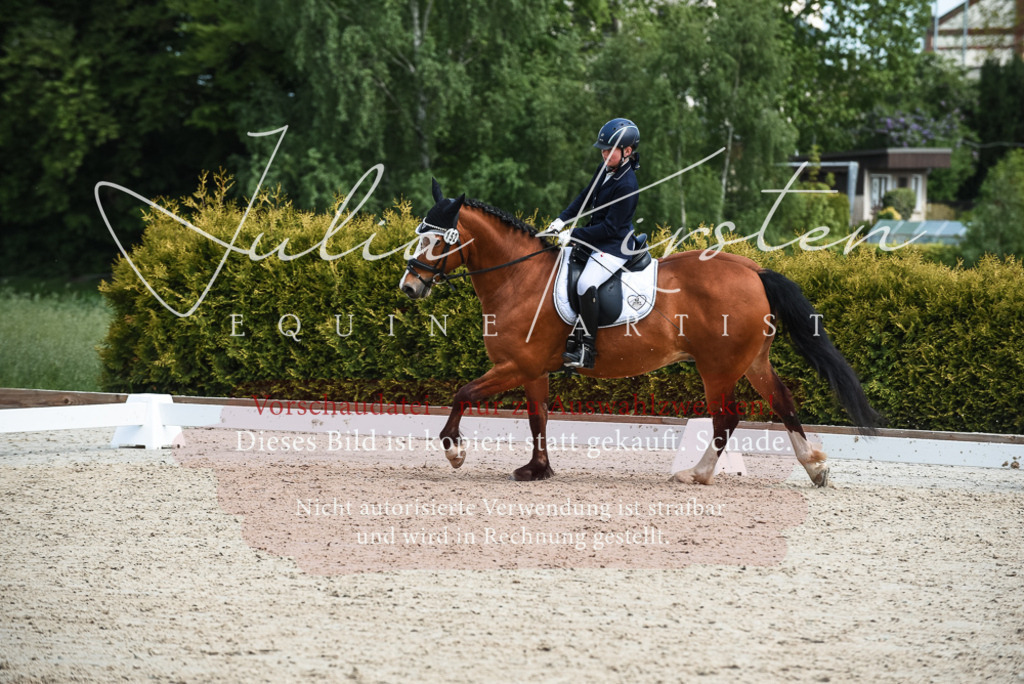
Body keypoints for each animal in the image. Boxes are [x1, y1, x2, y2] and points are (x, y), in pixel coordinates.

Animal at [399, 179, 881, 486]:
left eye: (439, 240)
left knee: (726, 417)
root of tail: (753, 270)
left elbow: (462, 393)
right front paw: (537, 469)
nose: (409, 286)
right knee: (782, 403)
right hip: (752, 361)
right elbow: (538, 418)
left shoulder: (515, 365)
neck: (519, 277)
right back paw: (815, 468)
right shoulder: (533, 369)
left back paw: (696, 475)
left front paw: (455, 452)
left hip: (718, 366)